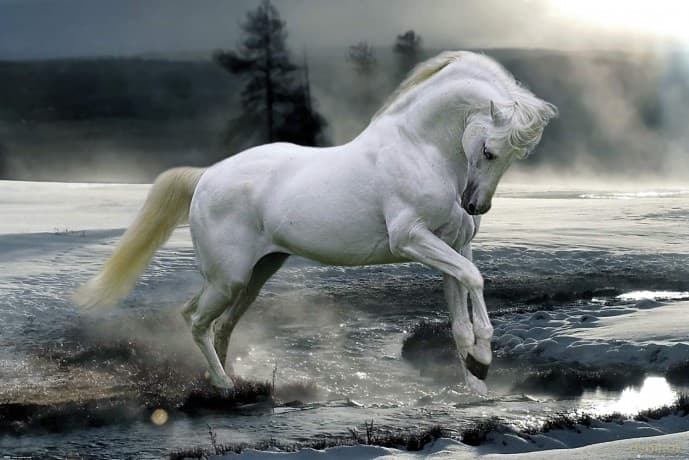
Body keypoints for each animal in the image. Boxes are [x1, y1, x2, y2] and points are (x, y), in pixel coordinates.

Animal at [75, 51, 557, 394]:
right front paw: (483, 362)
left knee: (217, 323)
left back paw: (229, 382)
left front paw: (475, 381)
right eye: (490, 151)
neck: (420, 149)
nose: (475, 206)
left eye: (514, 158)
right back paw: (224, 384)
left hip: (254, 275)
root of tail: (207, 176)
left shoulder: (452, 245)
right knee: (196, 321)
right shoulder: (411, 240)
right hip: (229, 279)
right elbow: (475, 278)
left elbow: (461, 314)